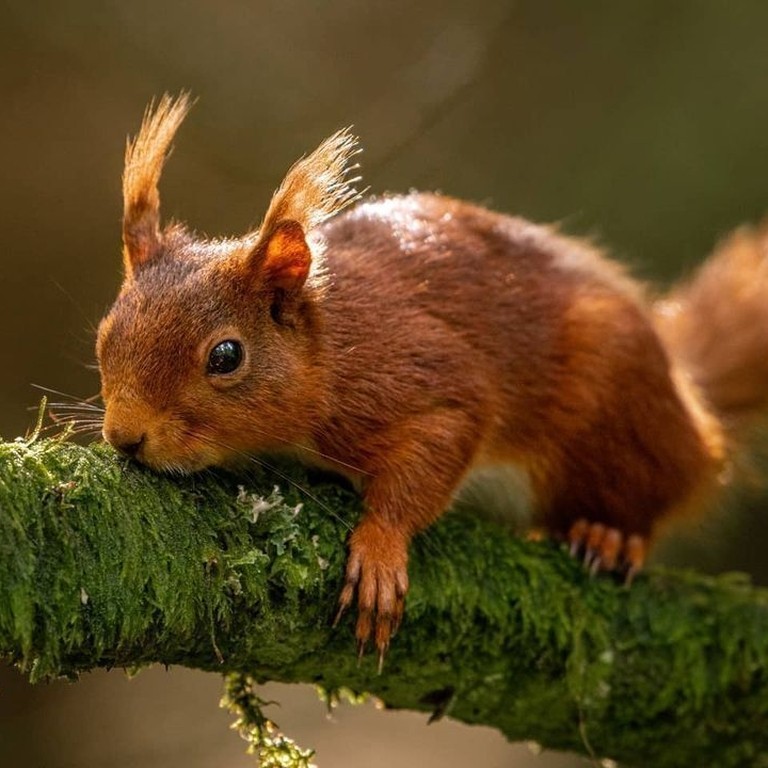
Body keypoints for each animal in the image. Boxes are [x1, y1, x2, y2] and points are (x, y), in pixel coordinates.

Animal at [99, 94, 768, 660]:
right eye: (105, 333)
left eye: (226, 357)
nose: (124, 437)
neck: (335, 345)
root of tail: (687, 394)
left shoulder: (417, 379)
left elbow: (436, 450)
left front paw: (379, 548)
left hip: (623, 415)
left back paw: (610, 534)